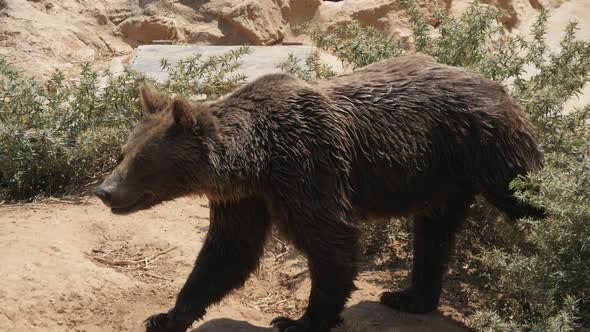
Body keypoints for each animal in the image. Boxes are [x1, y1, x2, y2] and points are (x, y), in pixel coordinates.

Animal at [96, 53, 544, 330]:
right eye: (124, 152)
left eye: (143, 162)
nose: (105, 191)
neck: (257, 162)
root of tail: (499, 85)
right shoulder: (246, 199)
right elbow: (227, 254)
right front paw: (166, 316)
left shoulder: (308, 167)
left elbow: (332, 243)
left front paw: (298, 321)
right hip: (442, 176)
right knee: (433, 233)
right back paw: (410, 296)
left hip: (489, 149)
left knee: (526, 201)